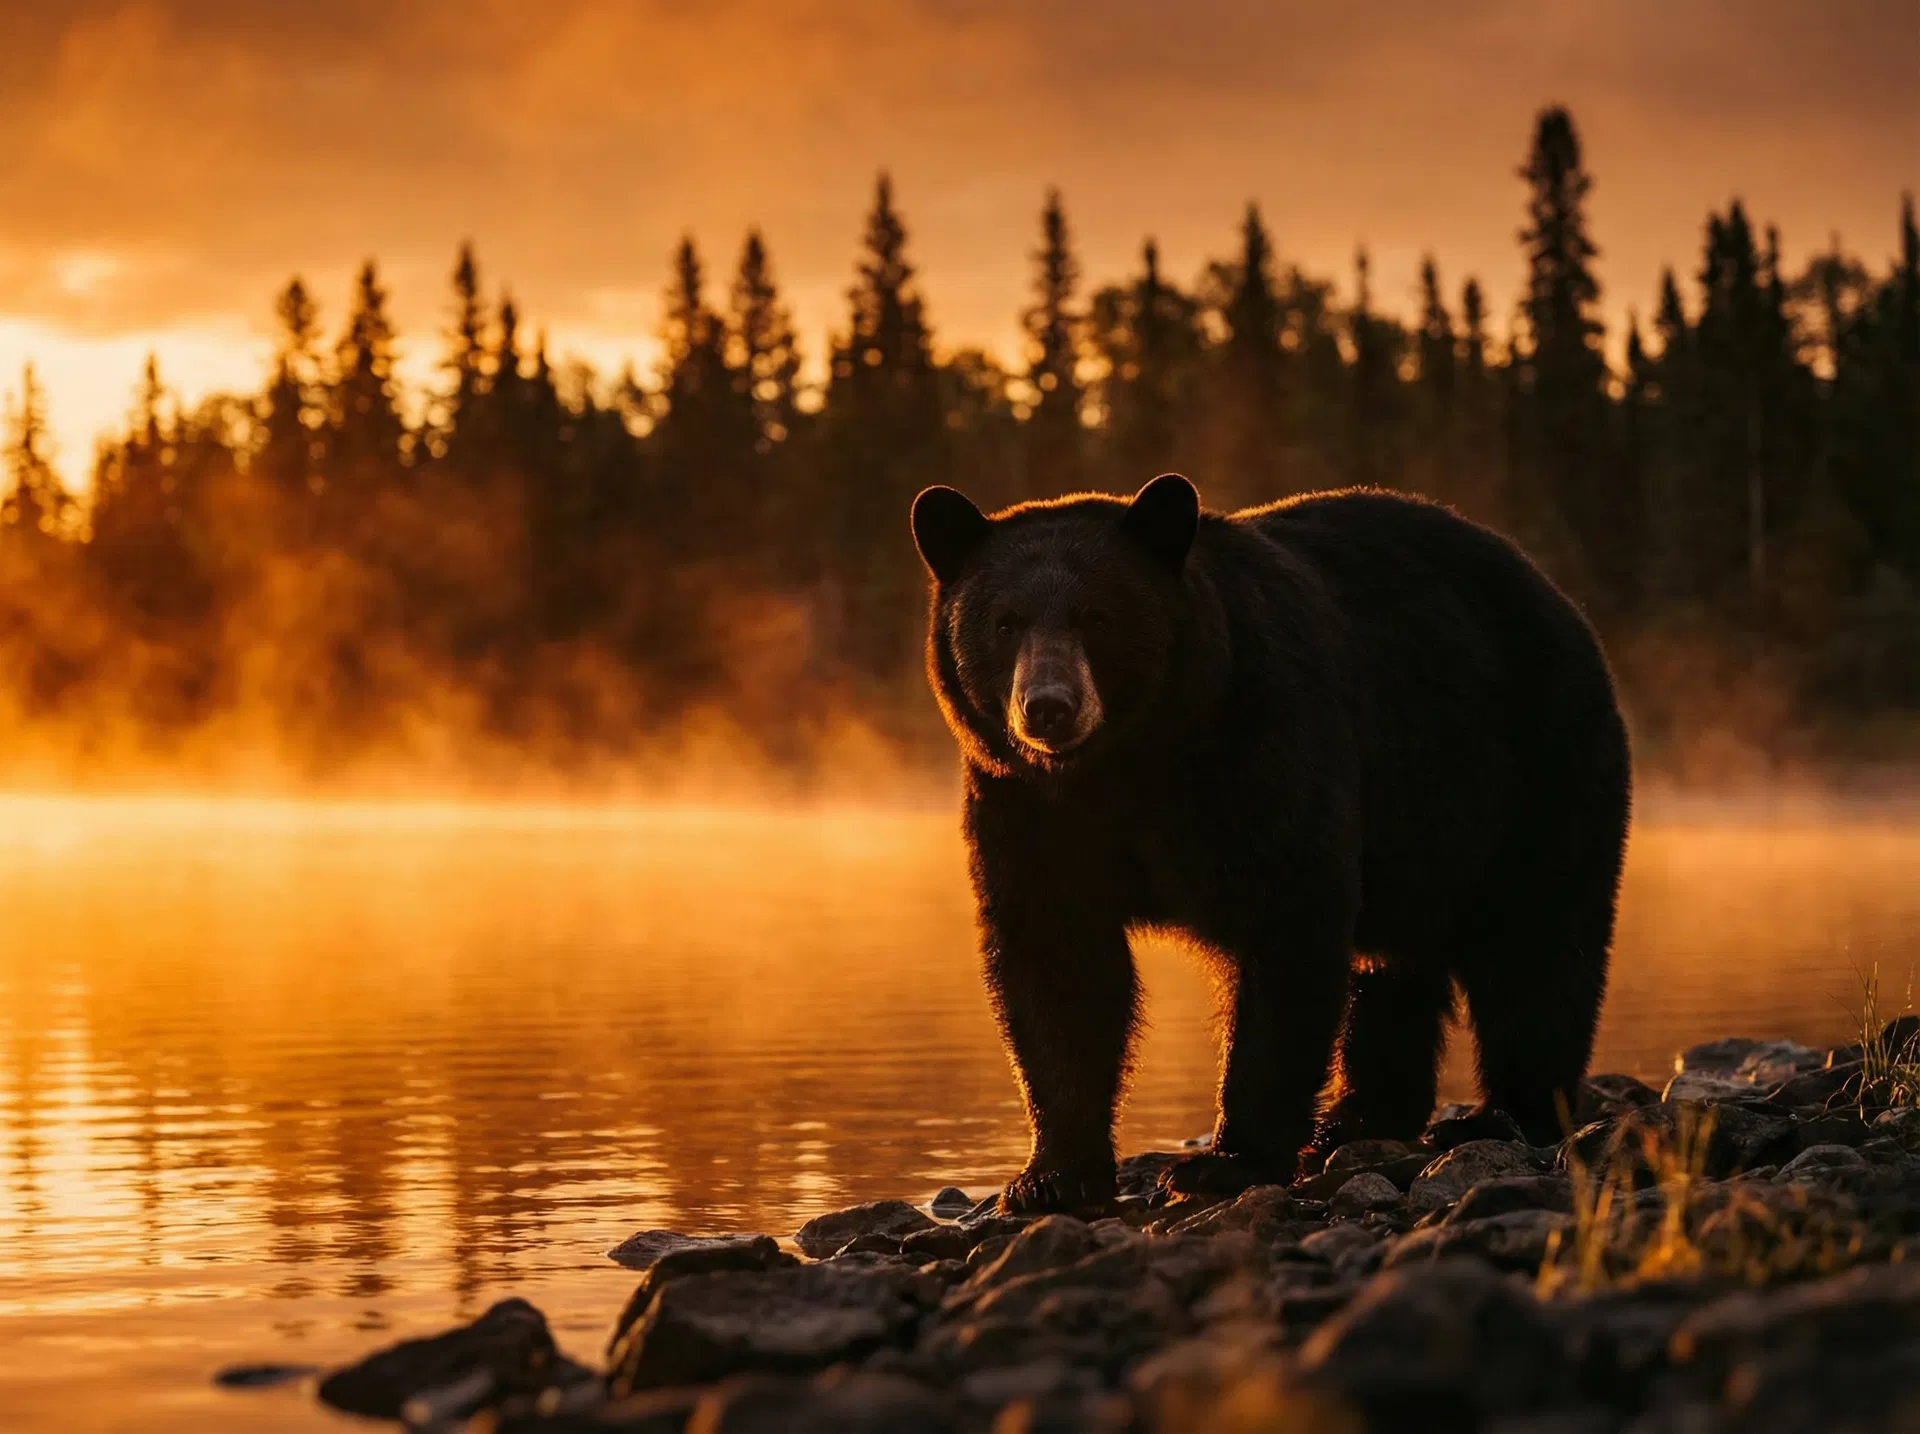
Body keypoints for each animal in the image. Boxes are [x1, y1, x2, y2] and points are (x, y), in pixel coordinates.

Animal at [909, 474, 1631, 1213]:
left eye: (1097, 616)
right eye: (1005, 622)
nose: (1049, 706)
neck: (1131, 763)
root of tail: (1555, 594)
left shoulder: (1264, 744)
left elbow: (1286, 927)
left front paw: (1225, 1162)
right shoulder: (1028, 806)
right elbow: (1058, 963)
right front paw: (1052, 1175)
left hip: (1533, 764)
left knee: (1537, 940)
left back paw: (1508, 1112)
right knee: (1394, 968)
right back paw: (1360, 1116)